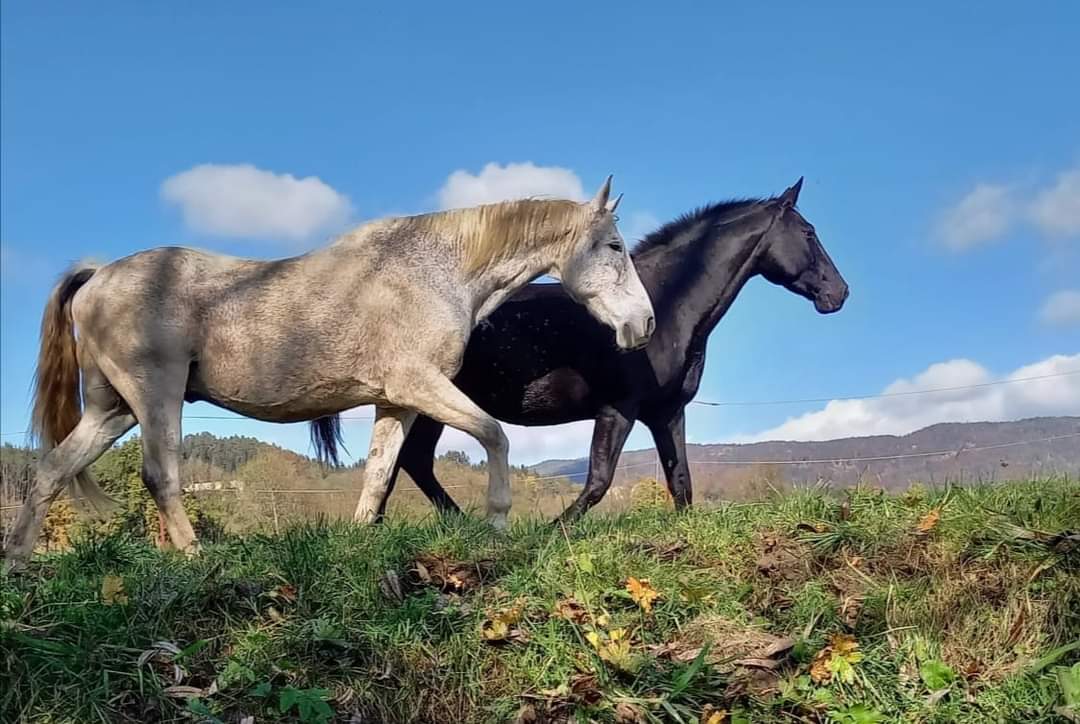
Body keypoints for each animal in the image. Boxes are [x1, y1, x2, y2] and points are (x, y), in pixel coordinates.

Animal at [2, 177, 655, 568]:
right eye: (614, 246)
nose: (644, 323)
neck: (433, 271)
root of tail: (99, 275)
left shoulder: (397, 401)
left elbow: (378, 475)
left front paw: (363, 545)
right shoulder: (420, 385)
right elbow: (494, 436)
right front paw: (496, 524)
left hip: (111, 410)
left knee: (52, 470)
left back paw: (19, 564)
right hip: (154, 396)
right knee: (159, 475)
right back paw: (195, 559)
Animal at [314, 178, 848, 520]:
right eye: (809, 232)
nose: (838, 294)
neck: (666, 305)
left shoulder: (666, 413)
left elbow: (681, 484)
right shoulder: (618, 409)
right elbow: (598, 481)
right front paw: (551, 532)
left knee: (406, 462)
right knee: (410, 462)